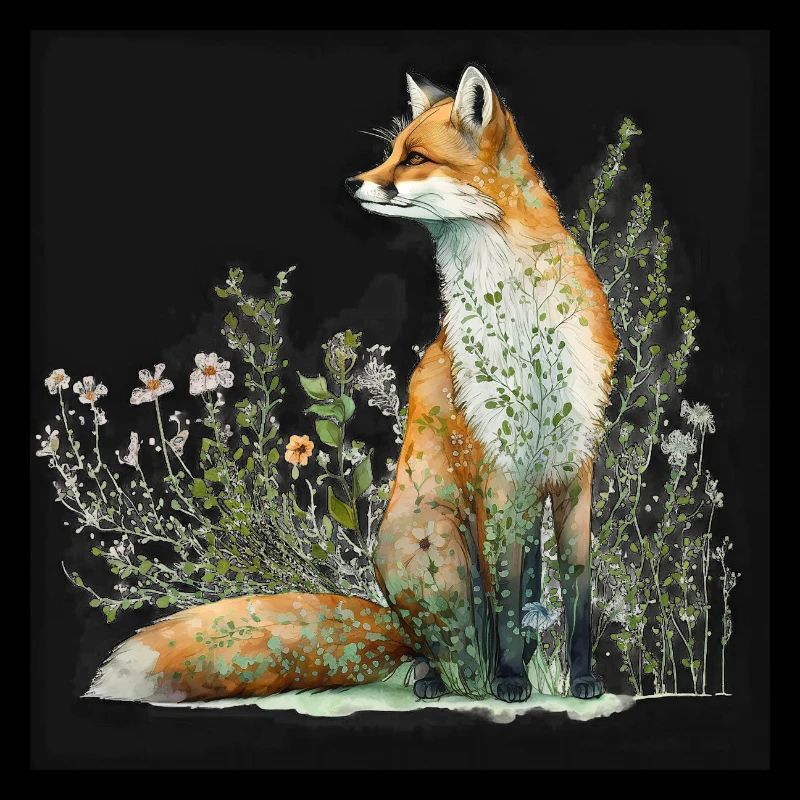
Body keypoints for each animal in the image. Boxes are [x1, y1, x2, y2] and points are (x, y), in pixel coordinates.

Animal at [87, 65, 617, 705]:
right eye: (390, 152)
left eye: (414, 157)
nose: (352, 182)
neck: (524, 323)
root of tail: (394, 613)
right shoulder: (497, 474)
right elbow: (508, 606)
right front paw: (513, 681)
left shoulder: (574, 468)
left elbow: (578, 597)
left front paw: (583, 678)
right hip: (441, 547)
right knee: (437, 649)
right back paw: (452, 680)